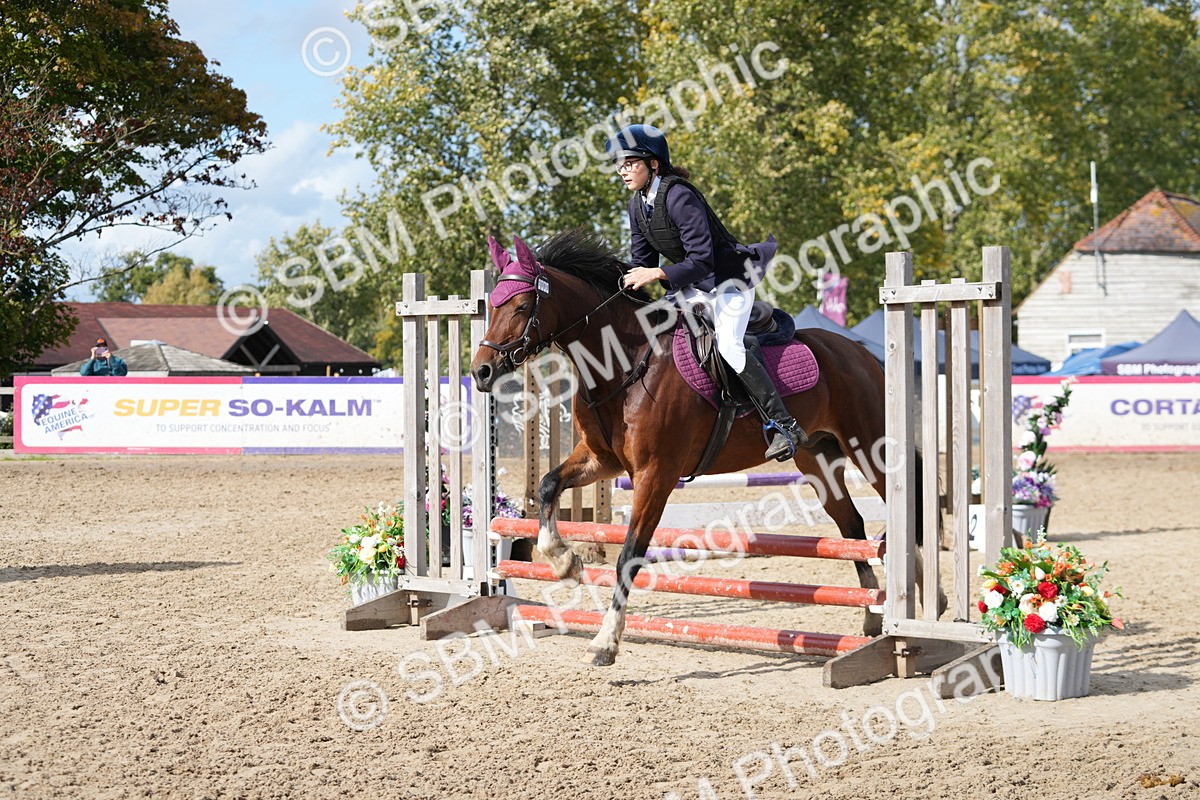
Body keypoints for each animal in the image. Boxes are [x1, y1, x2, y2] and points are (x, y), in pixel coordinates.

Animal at [470, 229, 932, 666]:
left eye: (522, 306)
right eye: (492, 305)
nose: (481, 372)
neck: (624, 362)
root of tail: (860, 351)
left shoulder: (656, 475)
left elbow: (628, 556)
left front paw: (605, 642)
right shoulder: (603, 460)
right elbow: (549, 485)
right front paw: (564, 561)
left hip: (871, 447)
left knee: (904, 506)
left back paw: (921, 609)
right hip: (817, 458)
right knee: (851, 524)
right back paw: (873, 615)